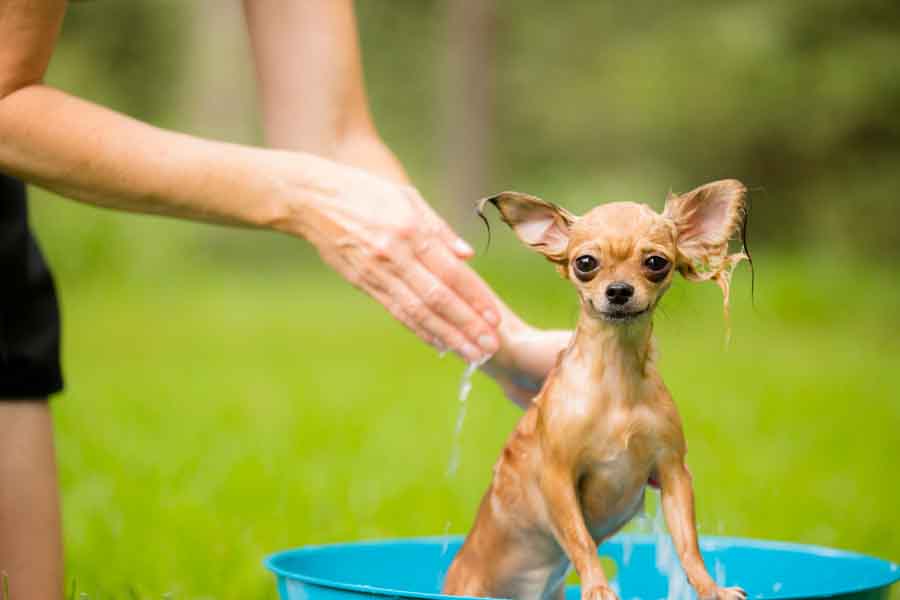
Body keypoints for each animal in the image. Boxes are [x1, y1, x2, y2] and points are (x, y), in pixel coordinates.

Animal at [442, 180, 744, 600]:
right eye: (585, 263)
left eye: (656, 263)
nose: (618, 290)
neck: (616, 380)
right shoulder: (557, 478)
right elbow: (581, 541)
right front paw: (598, 589)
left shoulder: (672, 473)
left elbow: (688, 544)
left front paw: (711, 588)